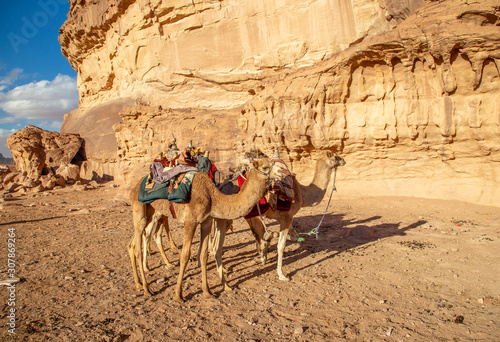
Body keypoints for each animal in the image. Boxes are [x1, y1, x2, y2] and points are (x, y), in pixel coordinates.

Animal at [128, 158, 286, 302]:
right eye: (265, 167)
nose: (282, 172)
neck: (213, 197)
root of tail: (134, 188)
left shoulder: (206, 221)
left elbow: (204, 254)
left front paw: (207, 291)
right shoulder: (190, 221)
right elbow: (185, 255)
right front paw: (178, 295)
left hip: (151, 210)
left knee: (132, 244)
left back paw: (138, 283)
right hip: (140, 208)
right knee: (139, 244)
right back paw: (147, 288)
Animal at [247, 152, 348, 280]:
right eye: (335, 156)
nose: (344, 160)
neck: (302, 194)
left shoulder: (281, 217)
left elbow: (293, 236)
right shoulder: (288, 216)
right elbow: (281, 245)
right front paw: (281, 274)